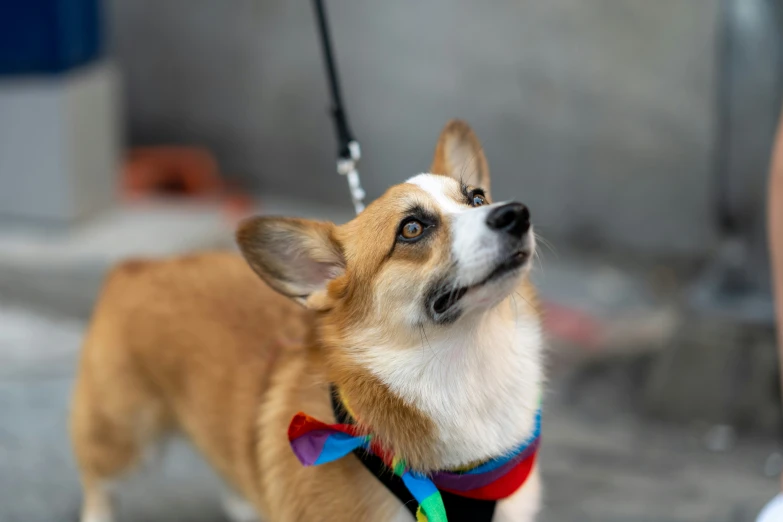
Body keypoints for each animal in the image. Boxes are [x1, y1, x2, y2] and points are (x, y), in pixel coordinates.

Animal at [70, 119, 544, 520]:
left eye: (478, 197)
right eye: (411, 229)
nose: (517, 213)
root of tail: (136, 265)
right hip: (124, 439)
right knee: (98, 483)